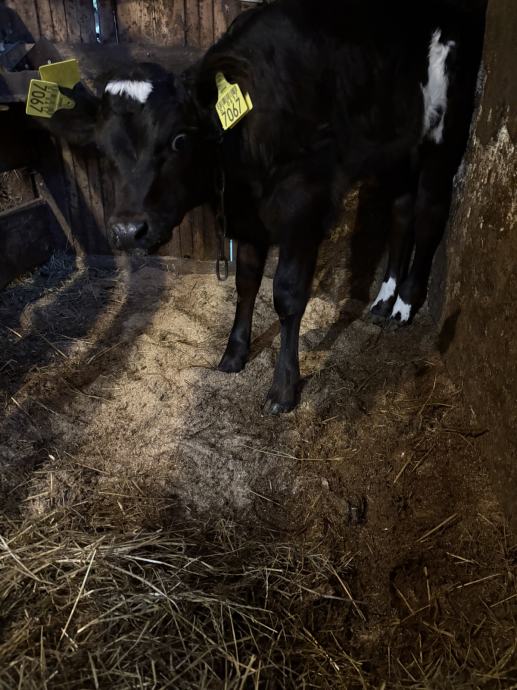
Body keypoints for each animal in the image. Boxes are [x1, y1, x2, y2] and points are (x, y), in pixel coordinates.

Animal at [43, 0, 486, 413]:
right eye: (103, 149)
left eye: (179, 139)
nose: (127, 230)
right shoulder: (246, 216)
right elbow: (246, 283)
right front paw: (234, 353)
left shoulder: (304, 206)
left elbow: (287, 295)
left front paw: (284, 388)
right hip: (396, 146)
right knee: (401, 211)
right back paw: (384, 299)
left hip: (444, 134)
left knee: (429, 213)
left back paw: (405, 304)